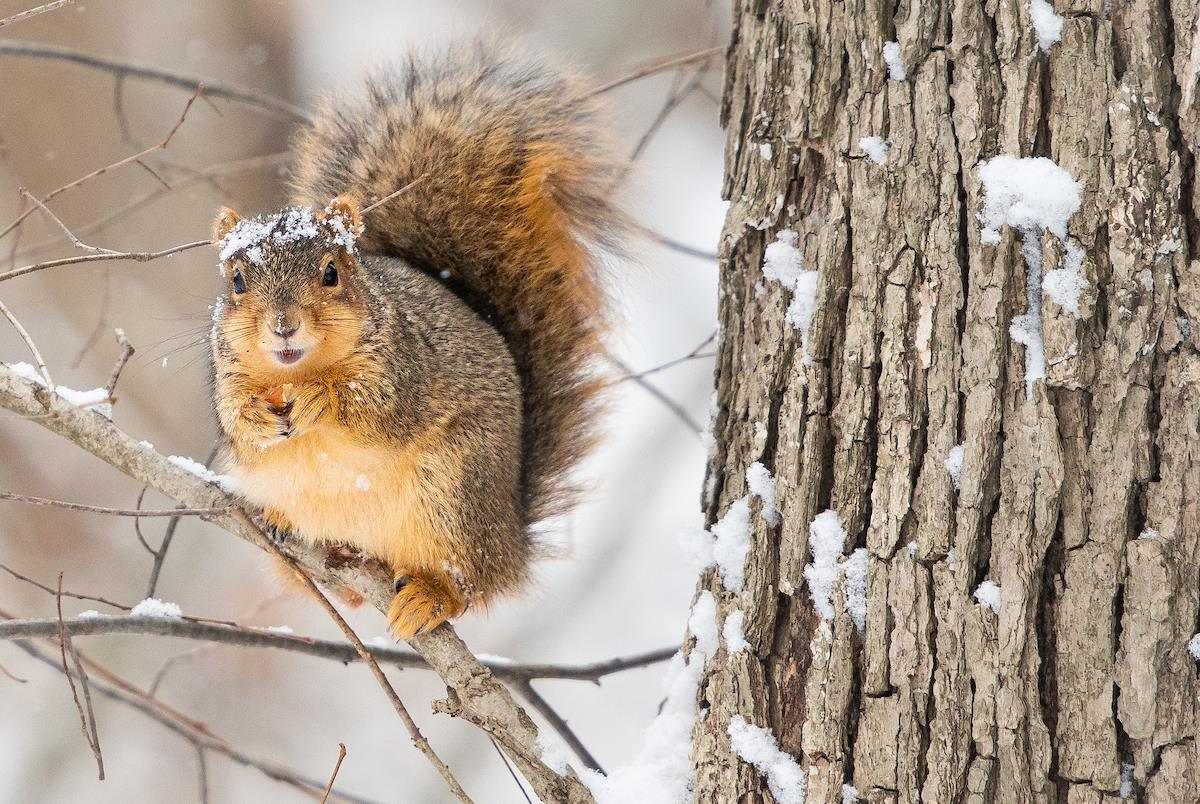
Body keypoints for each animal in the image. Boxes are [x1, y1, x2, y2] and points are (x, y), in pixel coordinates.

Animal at [206, 44, 624, 638]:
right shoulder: (227, 372)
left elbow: (380, 410)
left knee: (472, 584)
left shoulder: (406, 364)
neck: (295, 369)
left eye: (331, 273)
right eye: (237, 281)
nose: (283, 326)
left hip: (454, 492)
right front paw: (258, 417)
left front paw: (319, 400)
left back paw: (431, 597)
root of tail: (512, 541)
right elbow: (237, 424)